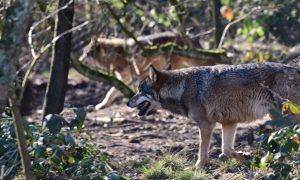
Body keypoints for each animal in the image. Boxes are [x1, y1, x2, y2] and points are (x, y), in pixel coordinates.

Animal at [126, 62, 300, 167]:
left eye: (140, 90)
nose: (127, 103)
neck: (182, 89)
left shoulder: (206, 124)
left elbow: (203, 149)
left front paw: (198, 167)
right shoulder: (229, 122)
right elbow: (226, 149)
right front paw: (245, 157)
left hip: (283, 118)